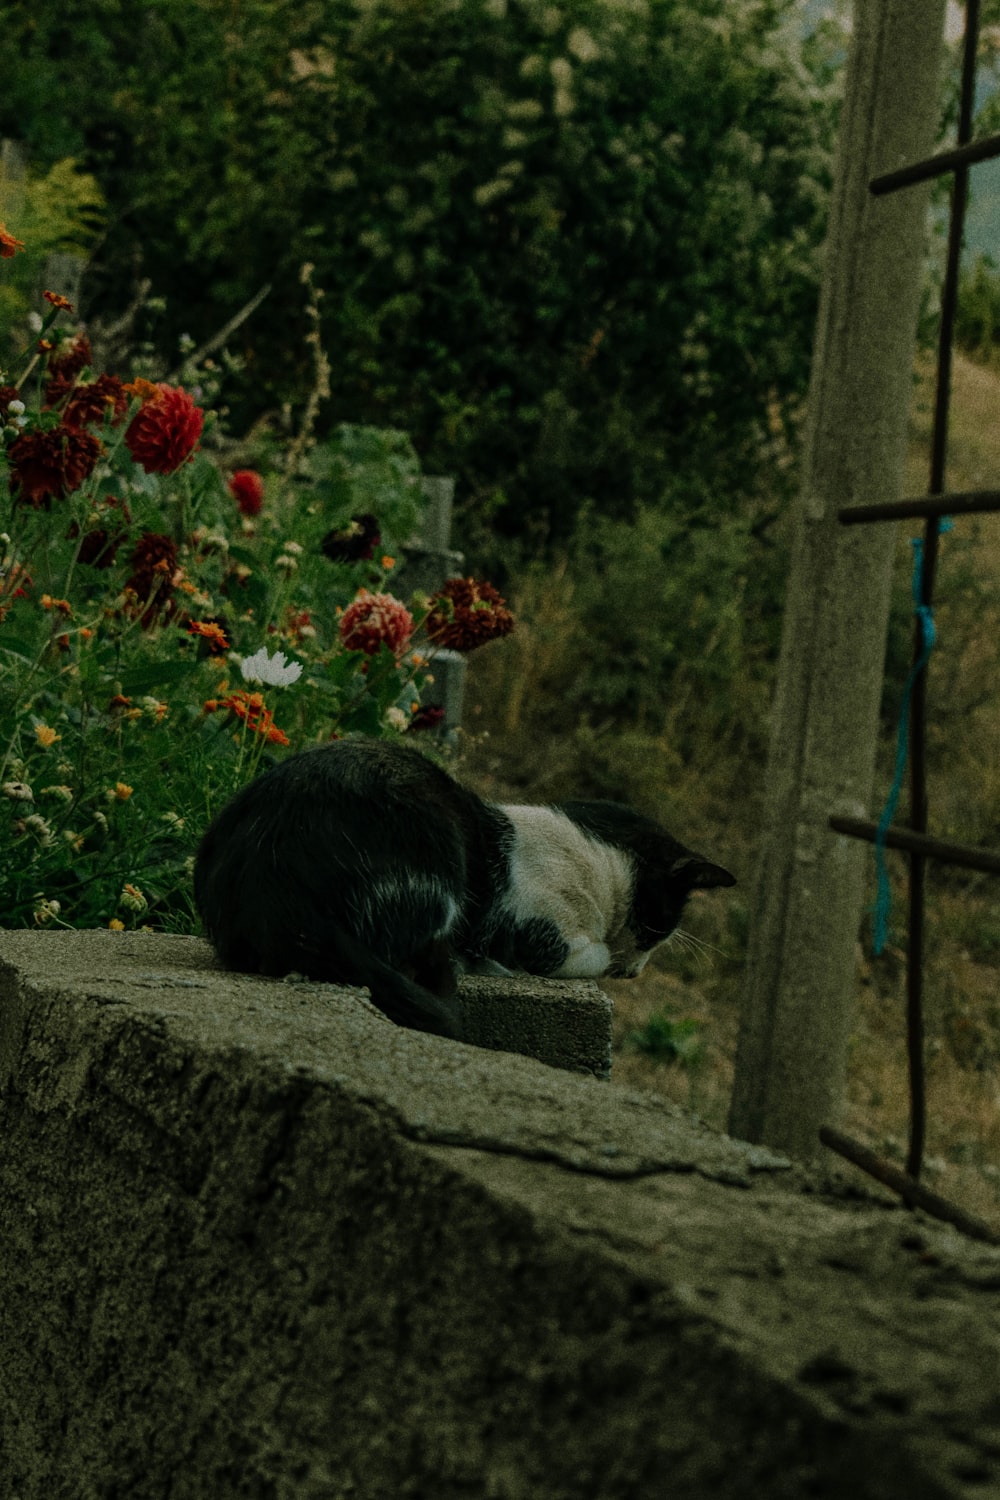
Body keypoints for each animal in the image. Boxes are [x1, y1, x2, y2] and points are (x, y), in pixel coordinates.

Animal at [194, 735, 740, 1038]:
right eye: (660, 930)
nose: (637, 973)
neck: (593, 862)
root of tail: (271, 885)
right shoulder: (543, 938)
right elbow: (593, 954)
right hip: (437, 853)